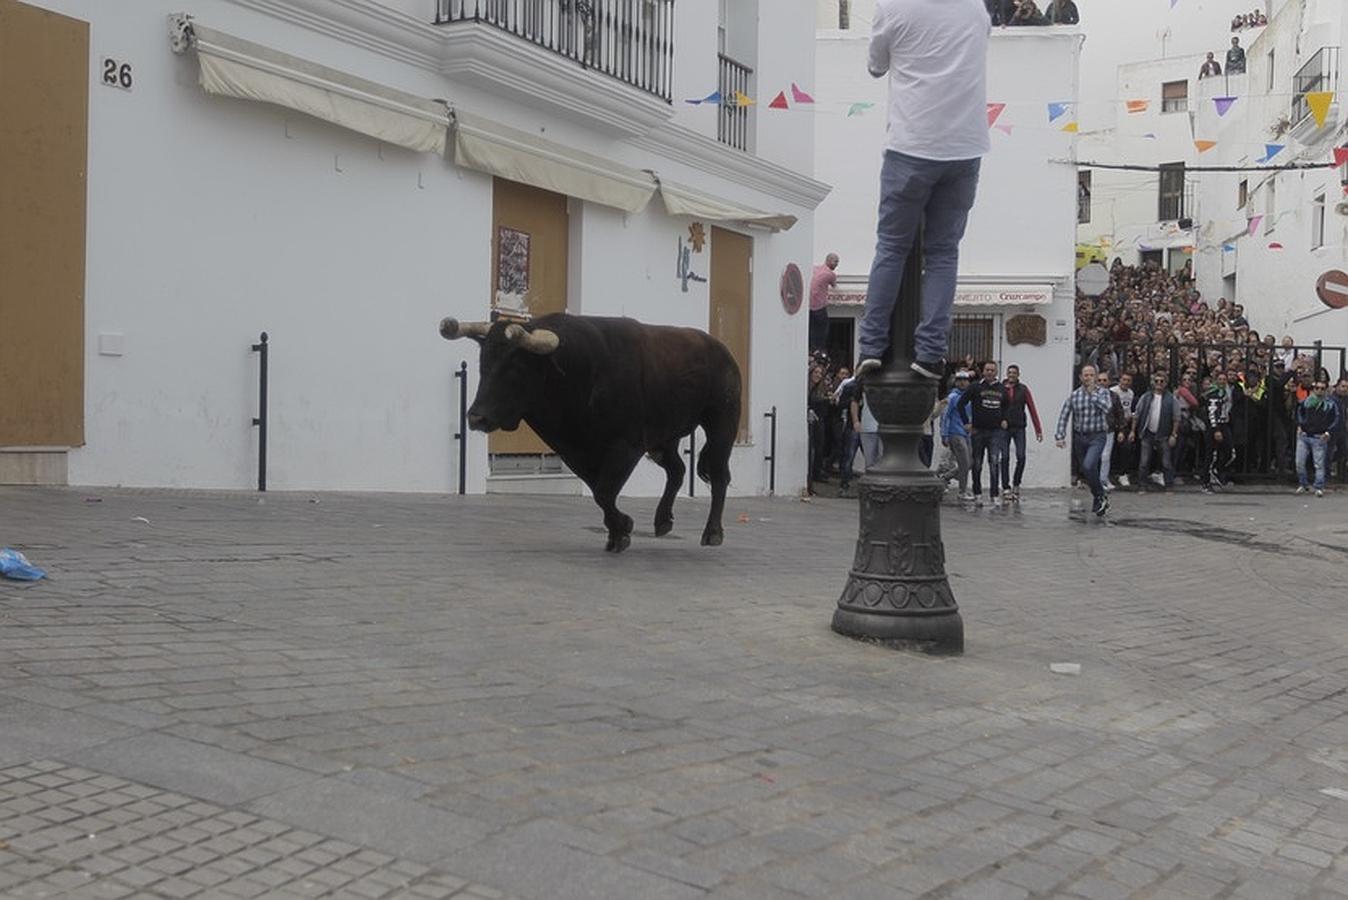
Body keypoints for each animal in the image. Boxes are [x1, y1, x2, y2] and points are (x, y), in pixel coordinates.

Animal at [439, 312, 738, 552]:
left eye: (515, 367)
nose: (476, 417)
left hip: (721, 425)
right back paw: (662, 520)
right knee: (677, 470)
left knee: (719, 475)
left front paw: (623, 527)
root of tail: (720, 350)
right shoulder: (575, 450)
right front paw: (618, 532)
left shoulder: (626, 446)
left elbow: (604, 492)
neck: (581, 372)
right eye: (483, 363)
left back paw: (712, 533)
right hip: (664, 439)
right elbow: (599, 490)